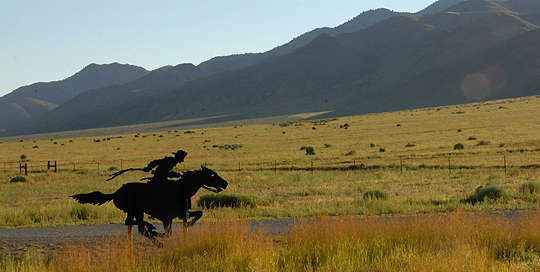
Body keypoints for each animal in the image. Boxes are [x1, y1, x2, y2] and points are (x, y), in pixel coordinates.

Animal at [69, 166, 226, 244]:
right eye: (212, 175)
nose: (225, 183)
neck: (181, 189)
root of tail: (115, 193)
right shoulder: (167, 216)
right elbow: (167, 233)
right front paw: (157, 233)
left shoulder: (178, 214)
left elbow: (199, 213)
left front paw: (189, 224)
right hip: (137, 210)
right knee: (137, 226)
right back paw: (152, 232)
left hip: (135, 211)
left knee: (132, 224)